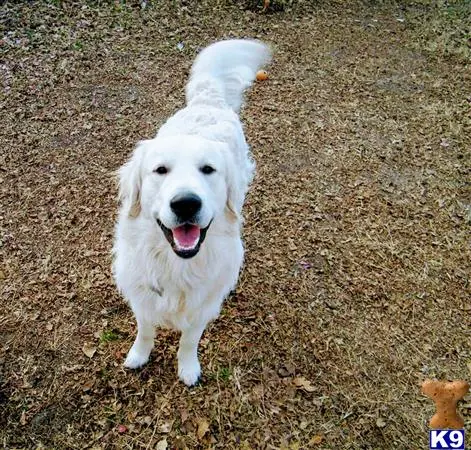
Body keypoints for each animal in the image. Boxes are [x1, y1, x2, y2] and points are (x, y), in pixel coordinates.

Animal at [112, 39, 272, 386]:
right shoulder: (143, 298)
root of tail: (207, 100)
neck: (177, 265)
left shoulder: (202, 309)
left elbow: (189, 340)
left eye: (208, 169)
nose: (186, 203)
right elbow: (145, 331)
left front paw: (188, 369)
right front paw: (138, 356)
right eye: (160, 170)